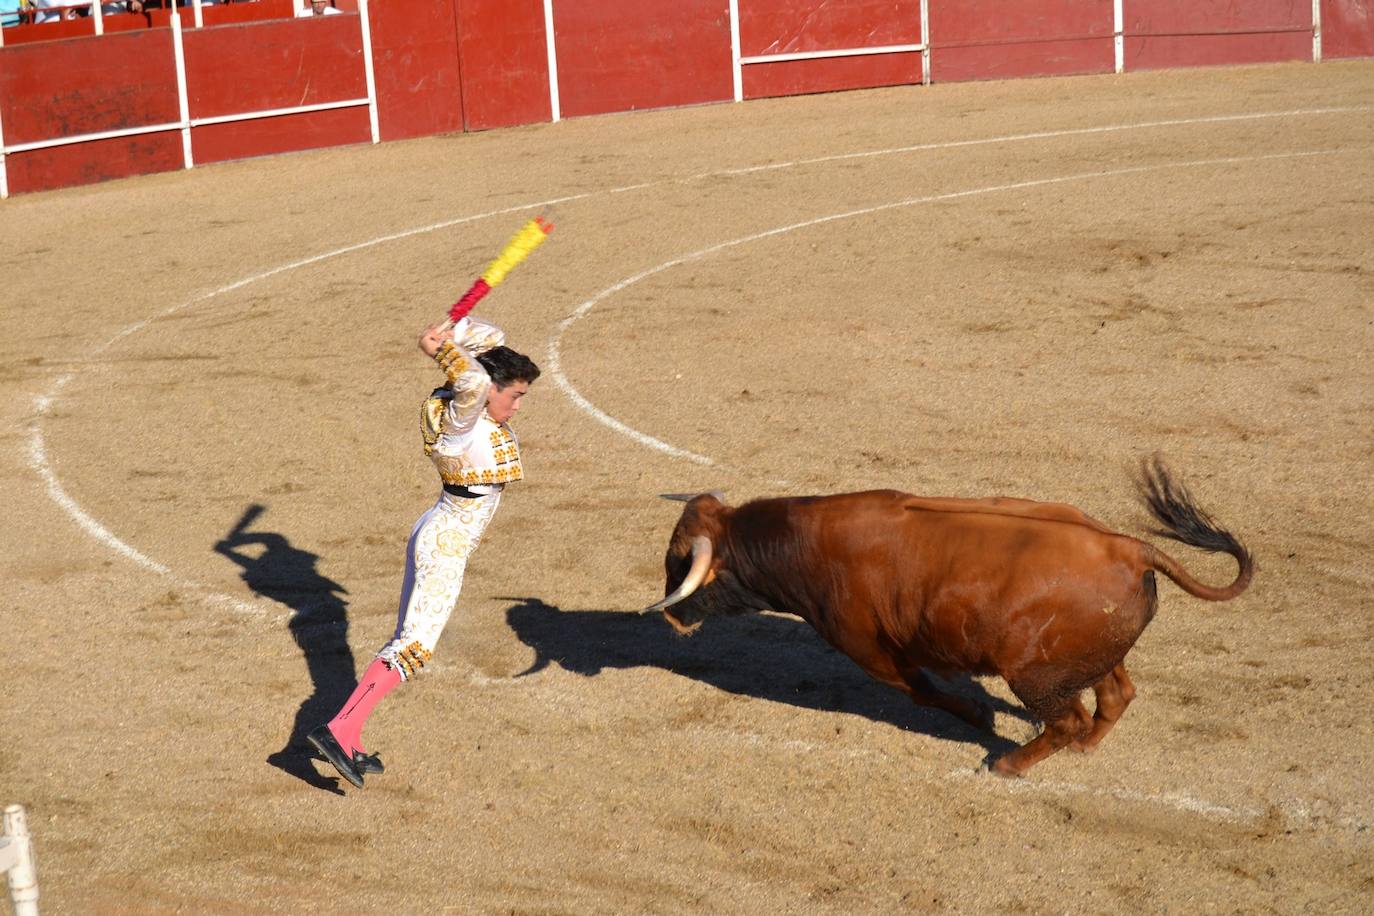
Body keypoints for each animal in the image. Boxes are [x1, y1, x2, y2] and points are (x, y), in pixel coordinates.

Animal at [643, 461, 1258, 780]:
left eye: (679, 561)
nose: (669, 618)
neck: (803, 544)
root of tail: (1131, 549)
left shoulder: (870, 650)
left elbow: (923, 692)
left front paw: (980, 718)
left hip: (1032, 673)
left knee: (1067, 719)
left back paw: (1009, 763)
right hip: (1087, 654)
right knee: (1114, 697)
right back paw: (1083, 749)